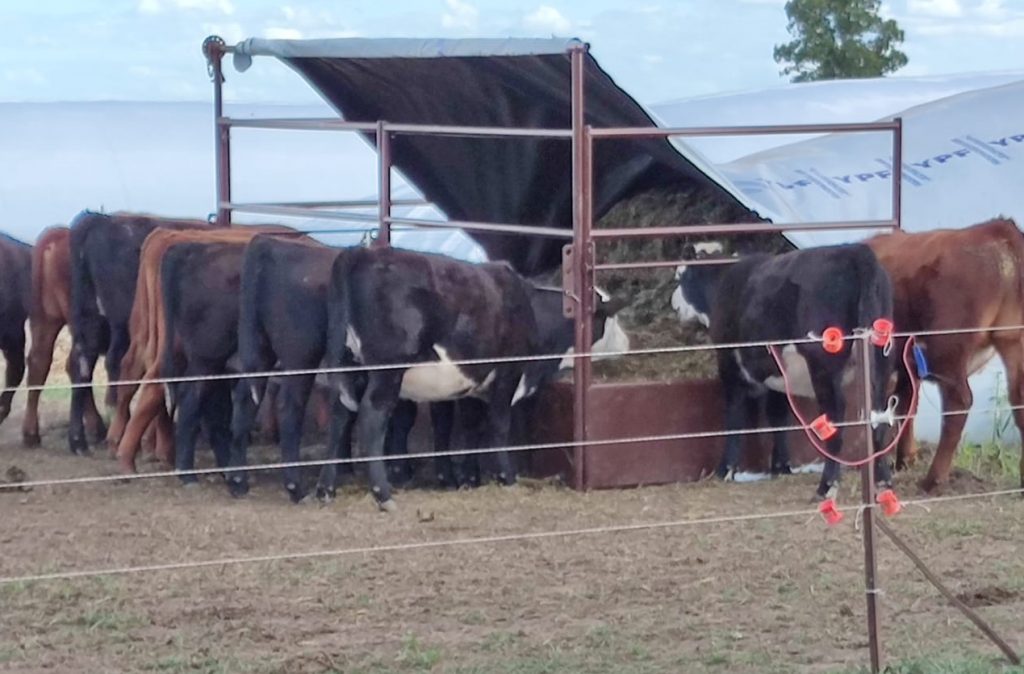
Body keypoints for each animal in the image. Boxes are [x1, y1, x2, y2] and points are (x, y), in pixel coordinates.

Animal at [67, 209, 215, 450]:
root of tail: (100, 220)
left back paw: (78, 440)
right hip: (121, 324)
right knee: (116, 362)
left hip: (89, 319)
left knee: (81, 363)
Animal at [315, 246, 626, 510]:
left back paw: (326, 489)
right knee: (371, 418)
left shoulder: (473, 384)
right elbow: (498, 426)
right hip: (386, 373)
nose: (628, 341)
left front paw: (469, 479)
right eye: (607, 319)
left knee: (340, 417)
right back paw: (383, 495)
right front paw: (506, 477)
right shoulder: (507, 374)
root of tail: (362, 252)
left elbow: (470, 429)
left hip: (351, 367)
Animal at [671, 238, 897, 495]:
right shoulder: (778, 375)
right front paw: (780, 466)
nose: (674, 305)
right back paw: (883, 481)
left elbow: (735, 415)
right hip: (882, 361)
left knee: (836, 417)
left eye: (679, 276)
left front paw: (725, 469)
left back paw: (826, 486)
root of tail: (855, 251)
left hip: (824, 367)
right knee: (878, 416)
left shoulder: (729, 362)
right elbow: (778, 415)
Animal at [868, 218, 1024, 491]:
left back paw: (933, 479)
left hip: (946, 350)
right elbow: (907, 404)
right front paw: (904, 458)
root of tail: (998, 230)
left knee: (958, 404)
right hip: (1012, 341)